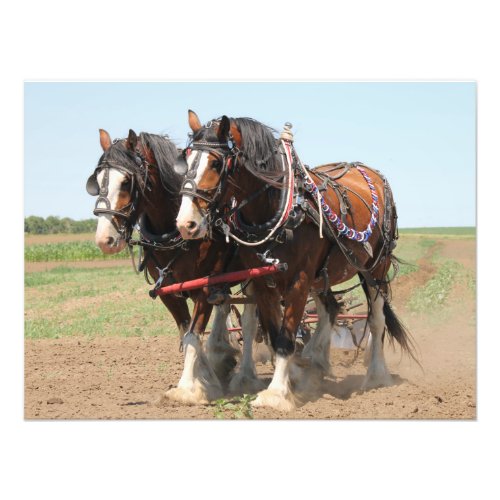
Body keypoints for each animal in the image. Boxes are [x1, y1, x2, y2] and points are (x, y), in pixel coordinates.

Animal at [87, 130, 266, 406]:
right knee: (225, 308)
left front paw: (187, 388)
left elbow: (193, 335)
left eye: (126, 182)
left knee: (248, 321)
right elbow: (186, 333)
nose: (104, 240)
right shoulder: (169, 293)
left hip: (252, 276)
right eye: (96, 181)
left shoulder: (204, 288)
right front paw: (207, 376)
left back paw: (245, 376)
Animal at [176, 111, 418, 412]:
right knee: (330, 309)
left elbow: (286, 336)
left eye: (217, 162)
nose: (186, 223)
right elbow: (273, 333)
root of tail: (368, 170)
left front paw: (276, 394)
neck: (279, 207)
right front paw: (288, 381)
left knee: (376, 319)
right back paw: (315, 362)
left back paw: (375, 375)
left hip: (375, 268)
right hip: (324, 274)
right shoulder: (263, 281)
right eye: (186, 159)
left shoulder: (299, 280)